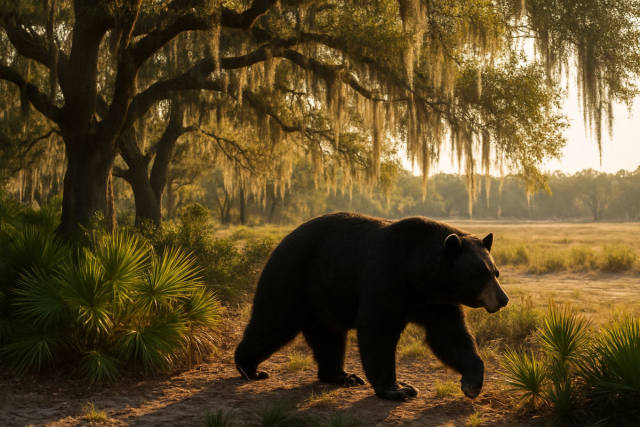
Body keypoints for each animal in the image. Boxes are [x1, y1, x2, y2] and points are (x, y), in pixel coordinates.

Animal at [235, 212, 509, 401]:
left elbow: (451, 336)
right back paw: (249, 368)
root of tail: (282, 241)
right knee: (273, 322)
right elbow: (378, 329)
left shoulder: (436, 301)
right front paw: (399, 389)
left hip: (324, 296)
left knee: (329, 337)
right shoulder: (386, 274)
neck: (419, 273)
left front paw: (472, 383)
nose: (503, 299)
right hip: (292, 276)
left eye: (495, 272)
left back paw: (342, 375)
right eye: (480, 274)